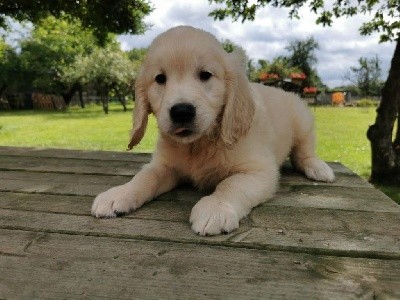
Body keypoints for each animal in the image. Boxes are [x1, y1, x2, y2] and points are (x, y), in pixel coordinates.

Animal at [91, 25, 334, 236]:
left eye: (205, 75)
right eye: (160, 79)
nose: (181, 112)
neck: (199, 143)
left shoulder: (259, 171)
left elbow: (231, 185)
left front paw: (215, 208)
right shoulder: (164, 165)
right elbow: (145, 177)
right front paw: (119, 193)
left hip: (303, 119)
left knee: (304, 152)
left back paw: (318, 168)